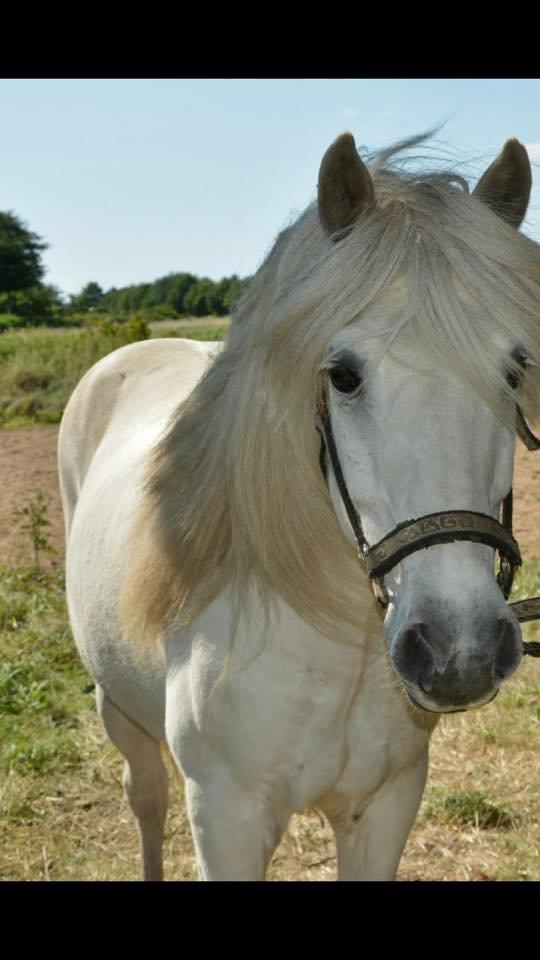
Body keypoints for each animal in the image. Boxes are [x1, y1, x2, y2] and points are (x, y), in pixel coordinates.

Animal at [58, 131, 540, 880]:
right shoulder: (225, 820)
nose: (458, 651)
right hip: (120, 713)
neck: (335, 646)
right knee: (146, 801)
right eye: (342, 375)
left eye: (514, 371)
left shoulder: (386, 806)